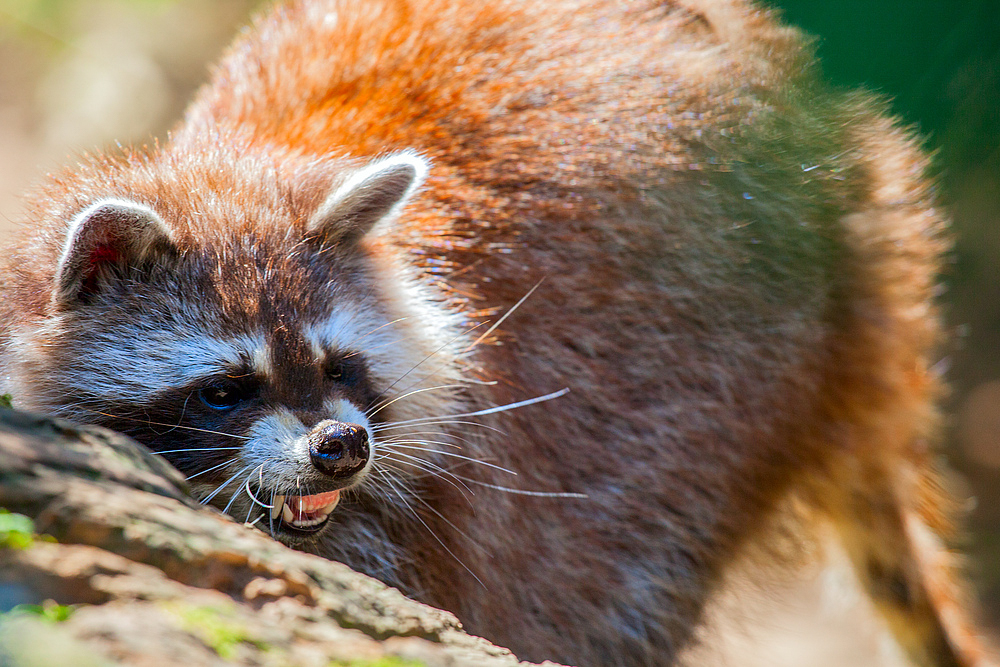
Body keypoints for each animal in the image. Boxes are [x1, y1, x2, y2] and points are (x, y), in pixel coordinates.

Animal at [0, 0, 988, 664]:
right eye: (223, 389)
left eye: (340, 366)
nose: (340, 446)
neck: (231, 167)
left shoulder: (451, 499)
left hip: (720, 389)